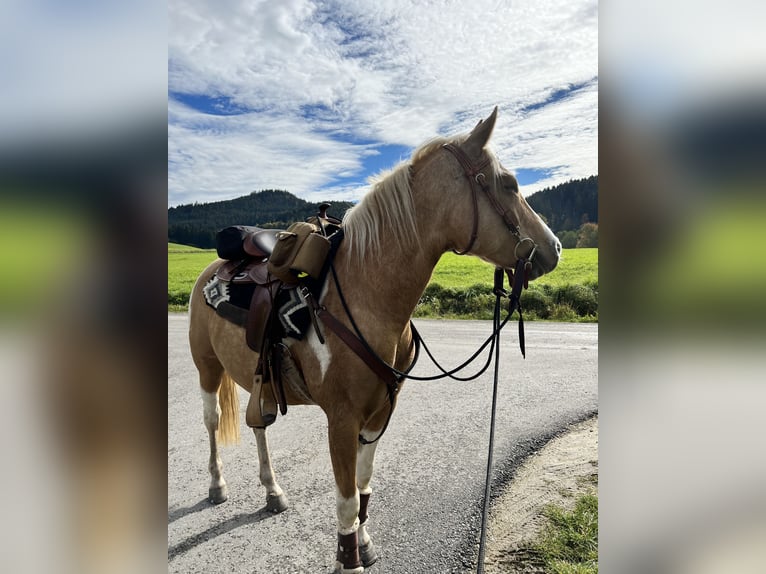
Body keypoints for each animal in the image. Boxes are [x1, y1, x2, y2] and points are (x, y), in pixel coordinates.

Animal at [187, 107, 562, 573]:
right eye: (508, 184)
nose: (555, 248)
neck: (367, 294)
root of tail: (213, 268)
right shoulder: (342, 421)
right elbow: (347, 502)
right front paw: (348, 559)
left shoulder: (380, 413)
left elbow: (364, 488)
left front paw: (362, 544)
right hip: (206, 367)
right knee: (212, 421)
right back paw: (217, 484)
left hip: (260, 381)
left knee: (258, 426)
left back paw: (273, 491)